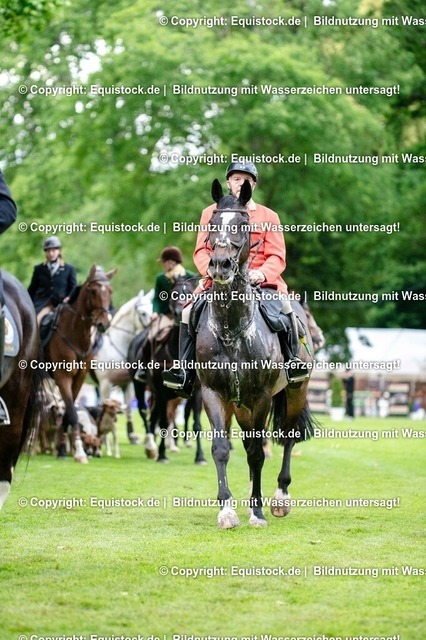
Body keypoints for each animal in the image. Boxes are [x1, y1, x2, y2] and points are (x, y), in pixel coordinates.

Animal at [43, 264, 116, 463]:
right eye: (93, 291)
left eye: (110, 291)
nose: (104, 324)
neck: (75, 333)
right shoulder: (63, 377)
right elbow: (72, 412)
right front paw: (79, 452)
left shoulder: (79, 378)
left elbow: (69, 412)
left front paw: (64, 449)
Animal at [90, 289, 154, 448]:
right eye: (143, 313)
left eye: (151, 308)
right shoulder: (105, 385)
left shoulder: (127, 384)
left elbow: (129, 410)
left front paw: (132, 436)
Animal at [128, 274, 206, 464]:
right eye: (173, 294)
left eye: (190, 292)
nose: (179, 313)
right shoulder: (162, 390)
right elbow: (163, 422)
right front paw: (162, 455)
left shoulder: (197, 392)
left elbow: (197, 424)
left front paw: (200, 457)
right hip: (141, 387)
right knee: (145, 411)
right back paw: (151, 446)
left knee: (155, 414)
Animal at [195, 179, 316, 528]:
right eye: (212, 224)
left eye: (242, 225)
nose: (220, 265)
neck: (232, 328)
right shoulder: (214, 394)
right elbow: (222, 449)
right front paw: (227, 510)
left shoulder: (261, 396)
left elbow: (258, 452)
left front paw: (258, 512)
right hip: (241, 406)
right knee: (250, 441)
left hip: (294, 392)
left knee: (287, 438)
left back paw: (278, 498)